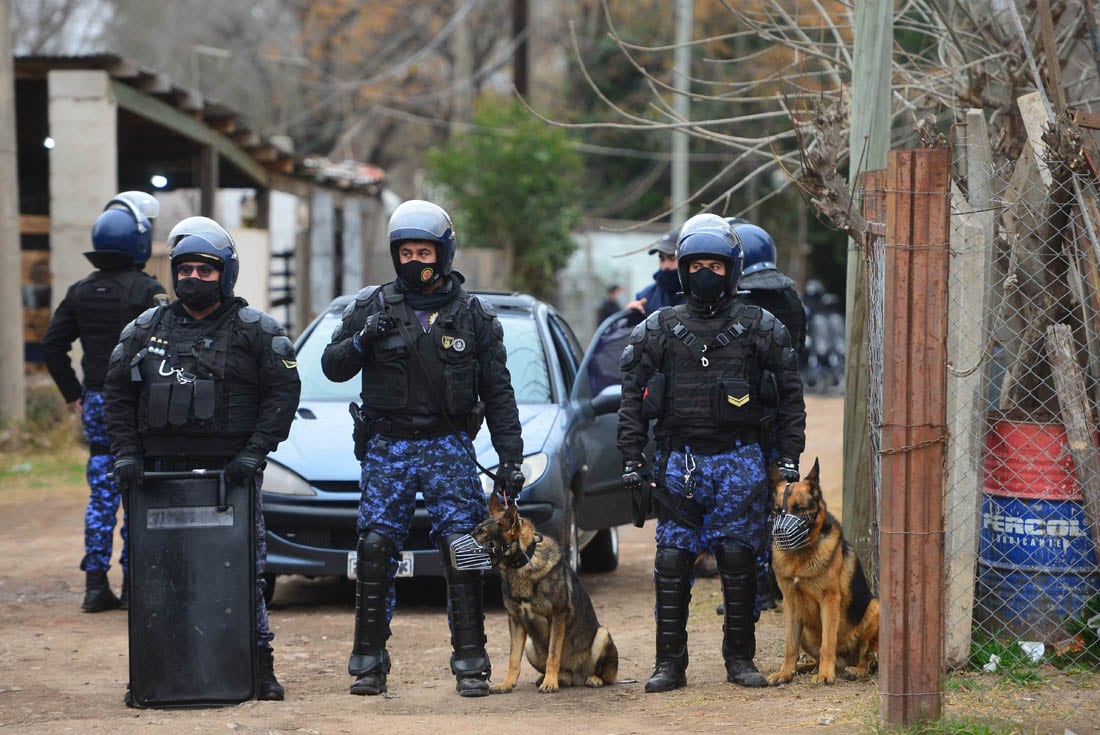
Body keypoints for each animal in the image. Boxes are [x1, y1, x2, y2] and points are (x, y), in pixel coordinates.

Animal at [466, 492, 616, 695]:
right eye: (476, 530)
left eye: (483, 533)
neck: (521, 564)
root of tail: (577, 677)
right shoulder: (515, 621)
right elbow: (513, 658)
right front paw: (507, 683)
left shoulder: (558, 617)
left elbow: (553, 655)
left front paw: (550, 682)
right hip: (531, 647)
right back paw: (554, 678)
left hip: (602, 635)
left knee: (607, 675)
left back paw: (592, 678)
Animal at [765, 455, 875, 686]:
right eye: (778, 511)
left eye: (799, 508)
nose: (780, 534)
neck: (800, 556)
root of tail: (845, 661)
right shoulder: (790, 603)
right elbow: (790, 645)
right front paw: (785, 672)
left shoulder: (829, 601)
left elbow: (828, 643)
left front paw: (825, 674)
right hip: (806, 631)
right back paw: (803, 668)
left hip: (874, 608)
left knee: (868, 657)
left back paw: (855, 670)